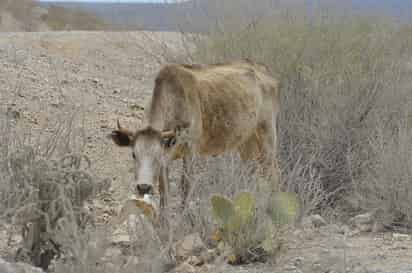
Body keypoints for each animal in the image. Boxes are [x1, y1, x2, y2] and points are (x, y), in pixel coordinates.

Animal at [109, 60, 280, 210]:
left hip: (267, 135)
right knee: (252, 171)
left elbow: (186, 186)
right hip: (246, 143)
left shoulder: (190, 151)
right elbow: (165, 192)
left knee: (272, 173)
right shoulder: (166, 160)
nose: (143, 187)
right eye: (133, 154)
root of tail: (262, 69)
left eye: (157, 155)